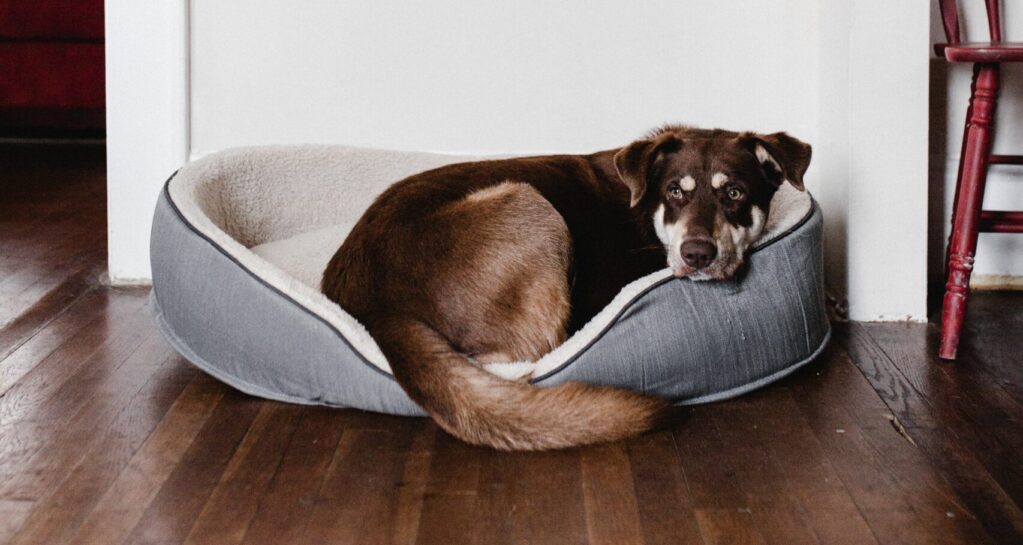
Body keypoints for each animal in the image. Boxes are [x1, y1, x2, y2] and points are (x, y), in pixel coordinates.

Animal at [323, 125, 810, 447]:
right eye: (675, 191)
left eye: (734, 193)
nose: (697, 254)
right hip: (529, 203)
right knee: (533, 354)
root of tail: (375, 307)